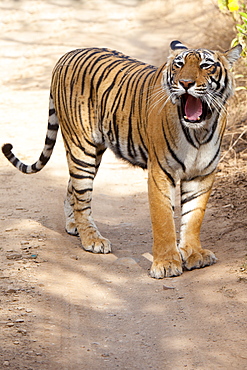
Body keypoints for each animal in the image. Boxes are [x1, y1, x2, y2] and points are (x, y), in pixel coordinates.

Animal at [1, 40, 241, 278]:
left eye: (206, 65)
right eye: (179, 65)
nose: (185, 83)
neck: (199, 131)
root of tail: (67, 54)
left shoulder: (202, 174)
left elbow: (193, 217)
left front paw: (193, 254)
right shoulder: (160, 172)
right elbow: (163, 220)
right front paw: (166, 264)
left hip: (94, 151)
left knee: (73, 188)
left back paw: (73, 225)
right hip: (81, 147)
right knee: (82, 195)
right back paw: (92, 239)